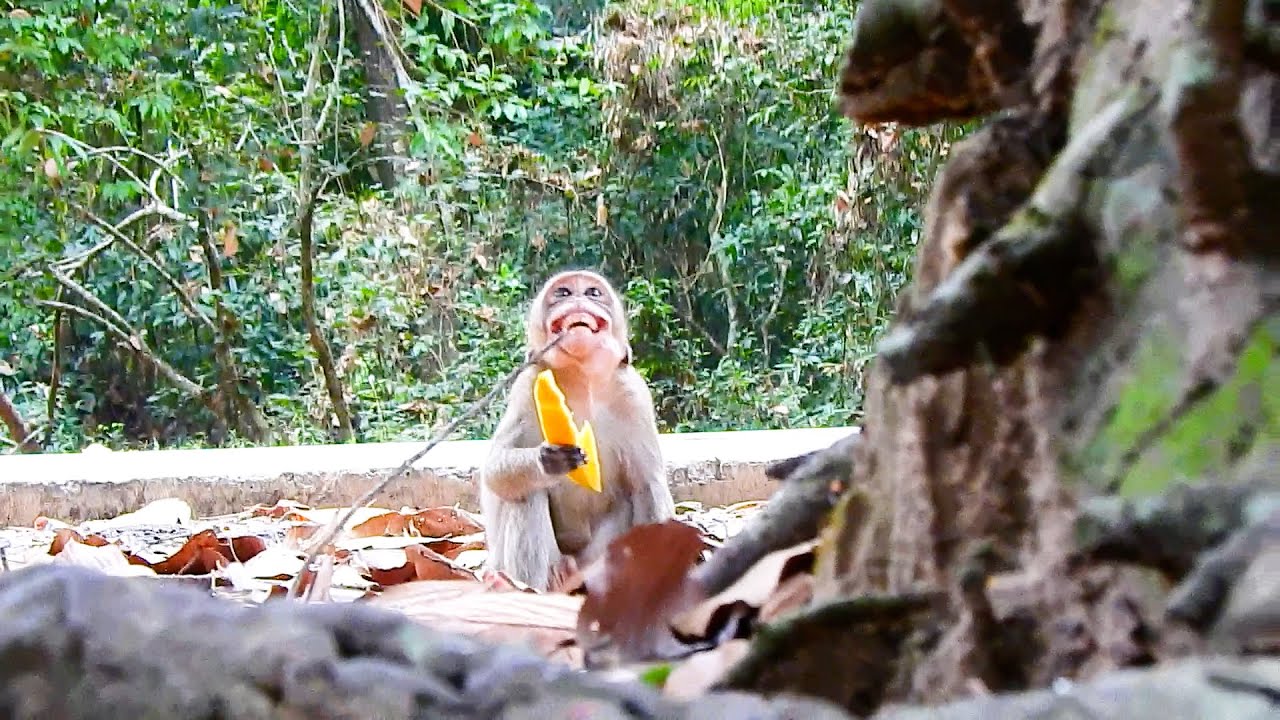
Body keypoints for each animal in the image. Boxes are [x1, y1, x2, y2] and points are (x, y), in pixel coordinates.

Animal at [479, 270, 676, 591]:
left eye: (593, 293)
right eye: (563, 293)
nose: (578, 298)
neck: (582, 383)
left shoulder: (634, 396)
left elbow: (647, 486)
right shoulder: (526, 387)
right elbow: (495, 471)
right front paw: (550, 461)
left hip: (593, 561)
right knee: (526, 494)